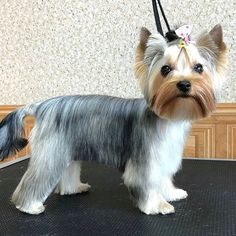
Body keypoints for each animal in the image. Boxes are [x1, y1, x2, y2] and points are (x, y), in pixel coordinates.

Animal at [0, 24, 227, 215]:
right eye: (165, 69)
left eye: (199, 68)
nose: (184, 84)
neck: (169, 116)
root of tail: (41, 106)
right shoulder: (145, 160)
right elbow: (147, 183)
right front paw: (157, 205)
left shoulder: (162, 156)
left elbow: (163, 179)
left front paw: (171, 193)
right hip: (51, 151)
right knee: (37, 178)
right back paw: (29, 206)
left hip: (66, 148)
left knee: (68, 170)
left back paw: (74, 188)